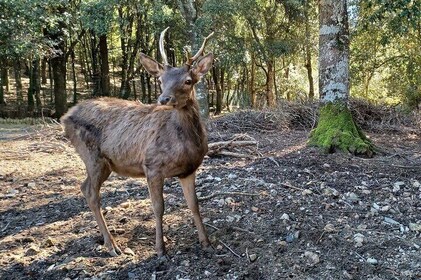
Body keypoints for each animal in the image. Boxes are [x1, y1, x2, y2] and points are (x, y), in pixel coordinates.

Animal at [60, 28, 213, 258]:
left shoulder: (189, 170)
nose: (163, 99)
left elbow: (194, 204)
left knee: (84, 187)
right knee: (91, 193)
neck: (185, 144)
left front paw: (206, 242)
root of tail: (65, 117)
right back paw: (112, 245)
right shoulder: (152, 166)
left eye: (188, 80)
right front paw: (160, 249)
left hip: (102, 163)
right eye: (161, 80)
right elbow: (158, 207)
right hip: (92, 156)